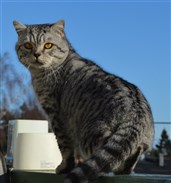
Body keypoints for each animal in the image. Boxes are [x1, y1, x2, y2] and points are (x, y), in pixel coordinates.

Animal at [13, 20, 154, 183]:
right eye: (28, 45)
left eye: (48, 45)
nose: (36, 54)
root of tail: (135, 111)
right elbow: (74, 152)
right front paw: (78, 163)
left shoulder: (56, 115)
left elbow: (65, 147)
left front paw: (64, 167)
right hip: (141, 140)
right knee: (134, 151)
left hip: (90, 134)